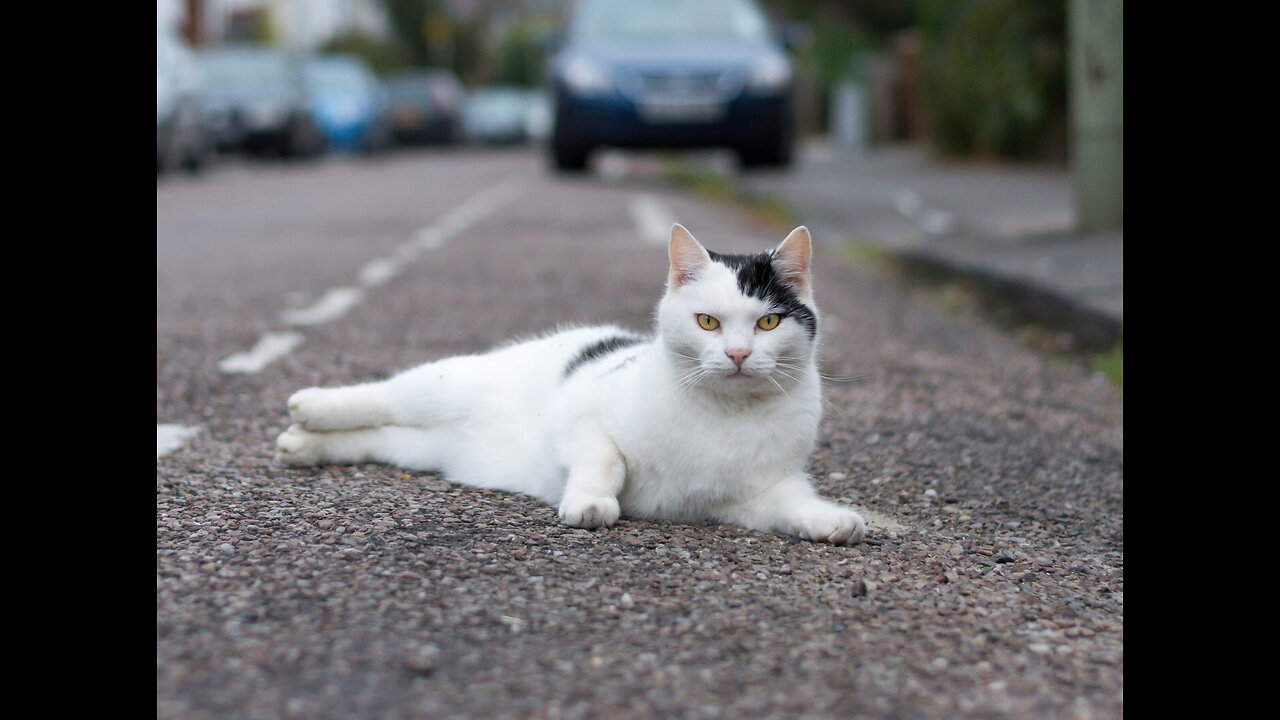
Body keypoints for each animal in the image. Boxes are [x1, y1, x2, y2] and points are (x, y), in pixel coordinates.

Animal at [273, 221, 865, 540]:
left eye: (768, 323)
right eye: (707, 322)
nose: (739, 354)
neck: (726, 413)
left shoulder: (757, 494)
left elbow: (794, 505)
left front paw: (833, 520)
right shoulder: (584, 420)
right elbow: (607, 462)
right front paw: (591, 505)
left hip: (420, 449)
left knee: (378, 437)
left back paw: (302, 446)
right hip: (441, 384)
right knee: (380, 396)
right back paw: (309, 409)